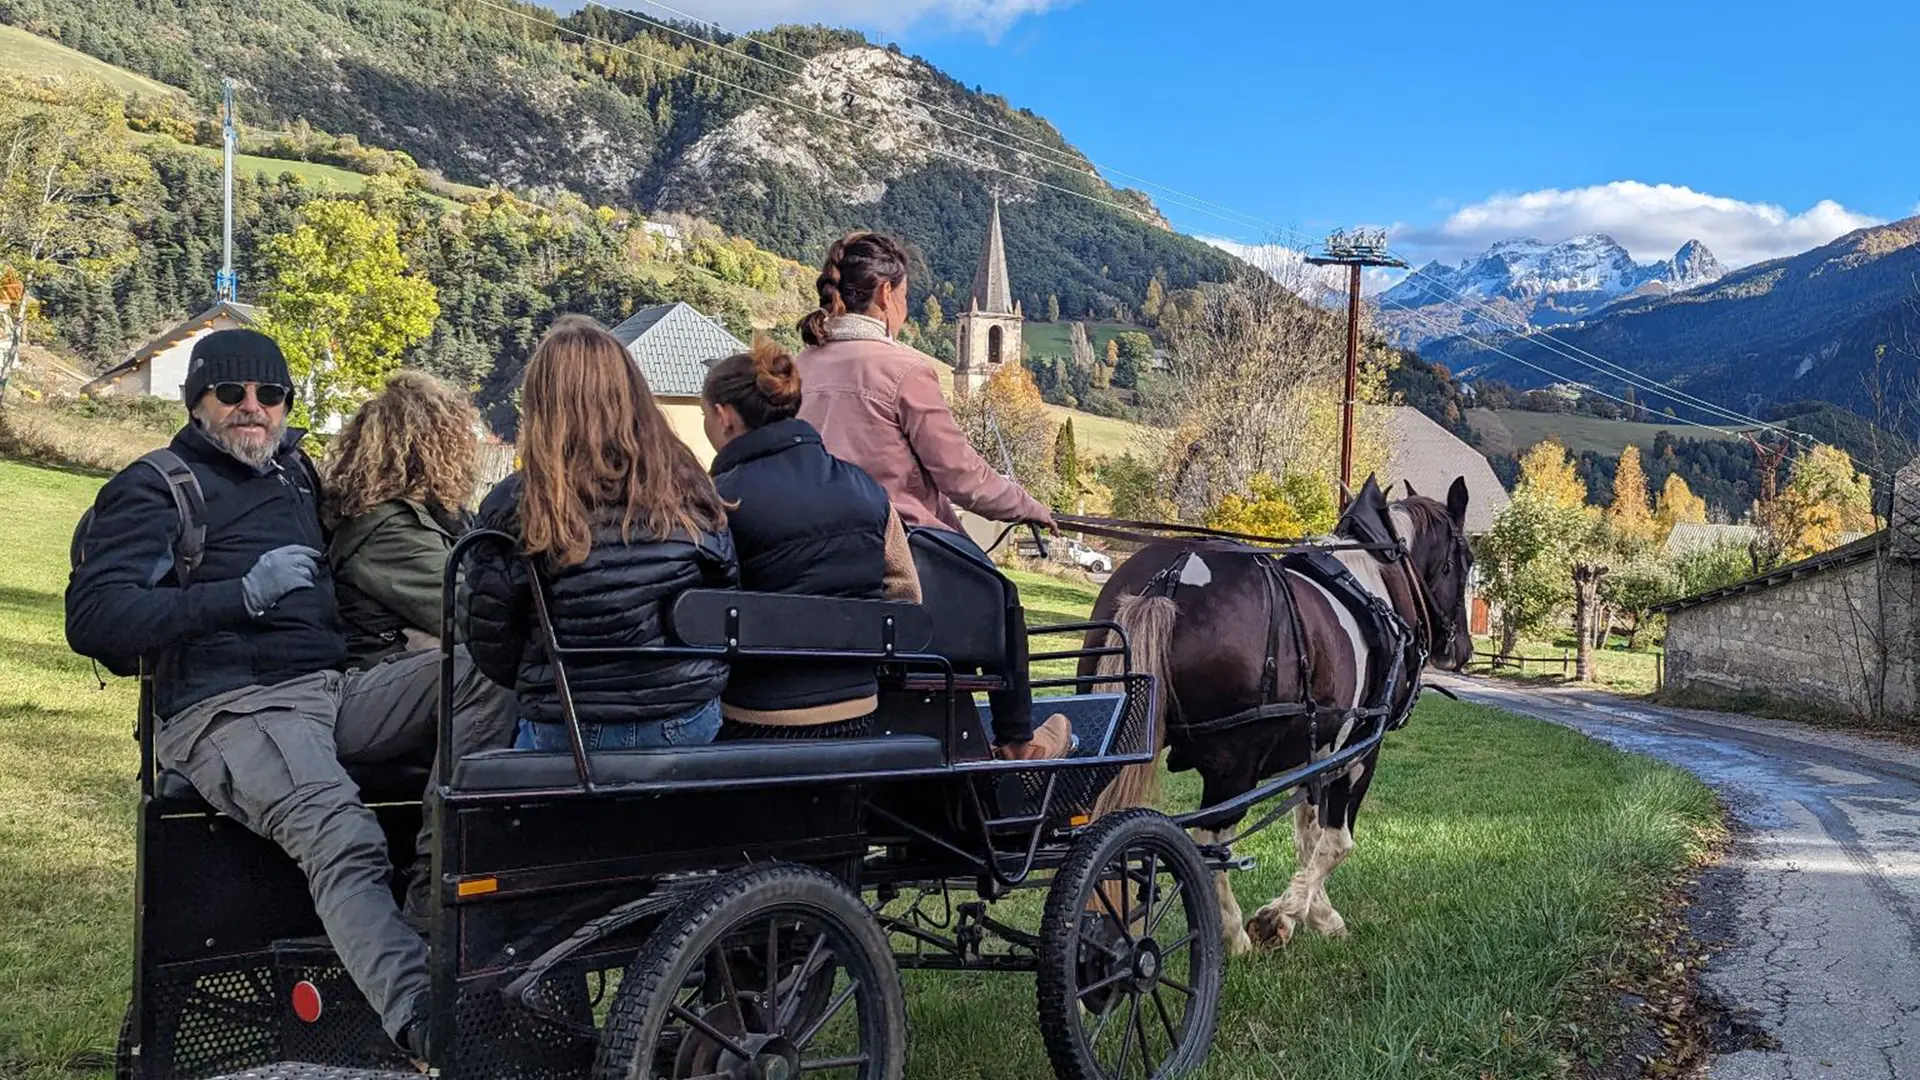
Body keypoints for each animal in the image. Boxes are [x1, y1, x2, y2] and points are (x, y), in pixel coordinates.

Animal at [1090, 474, 1474, 945]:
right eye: (1467, 561)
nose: (1462, 651)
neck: (1377, 580)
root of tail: (1171, 578)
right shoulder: (1360, 750)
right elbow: (1336, 842)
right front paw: (1282, 915)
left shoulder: (1316, 752)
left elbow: (1308, 836)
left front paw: (1315, 913)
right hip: (1234, 766)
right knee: (1210, 840)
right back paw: (1232, 935)